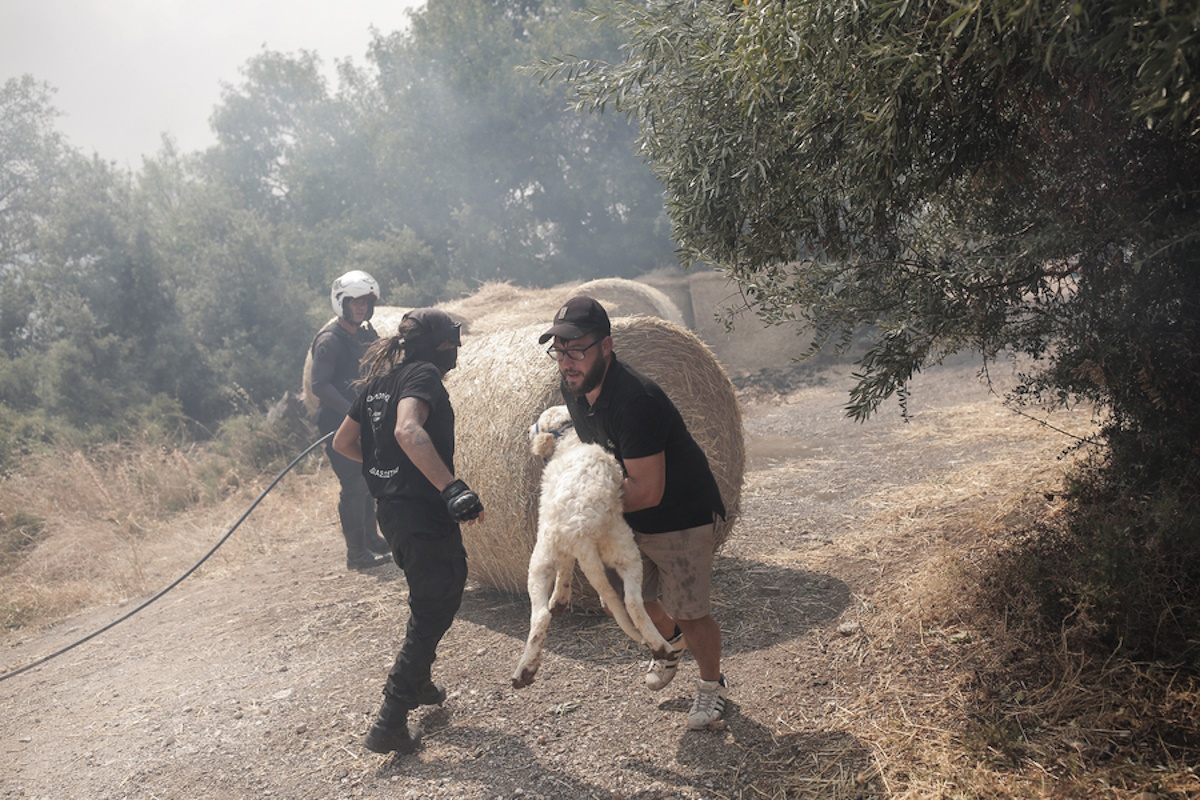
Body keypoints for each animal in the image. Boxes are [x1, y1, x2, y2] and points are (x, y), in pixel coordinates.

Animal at [508, 407, 672, 690]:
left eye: (539, 422)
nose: (527, 431)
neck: (571, 441)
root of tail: (581, 529)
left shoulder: (556, 547)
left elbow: (565, 569)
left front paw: (560, 599)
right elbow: (567, 569)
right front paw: (562, 598)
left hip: (540, 560)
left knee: (540, 616)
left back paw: (525, 671)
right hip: (624, 550)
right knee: (633, 603)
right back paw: (659, 646)